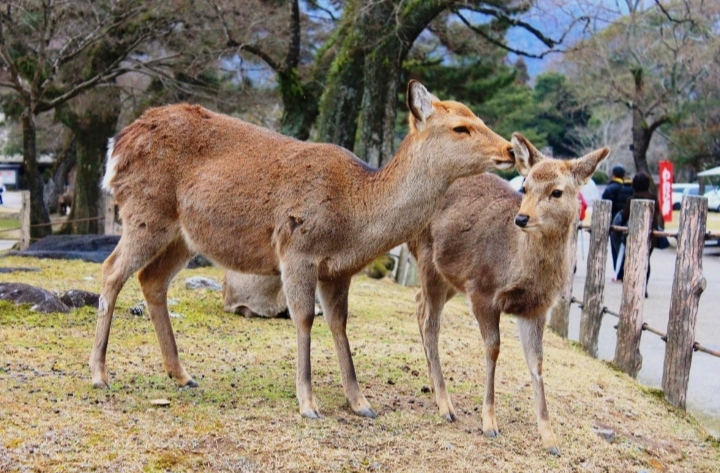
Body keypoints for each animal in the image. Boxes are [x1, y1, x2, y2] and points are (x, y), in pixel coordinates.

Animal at [91, 79, 516, 418]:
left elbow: (339, 324)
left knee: (151, 279)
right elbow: (304, 318)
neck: (355, 216)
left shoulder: (338, 270)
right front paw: (309, 404)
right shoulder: (297, 250)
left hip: (183, 235)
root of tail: (116, 145)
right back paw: (99, 373)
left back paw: (181, 374)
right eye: (461, 127)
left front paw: (361, 403)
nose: (510, 149)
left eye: (478, 117)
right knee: (111, 270)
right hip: (145, 211)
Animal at [410, 134, 608, 454]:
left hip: (449, 278)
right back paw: (445, 404)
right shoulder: (482, 290)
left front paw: (550, 439)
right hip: (428, 259)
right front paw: (489, 423)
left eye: (557, 191)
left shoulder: (536, 309)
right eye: (525, 186)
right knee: (430, 322)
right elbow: (493, 349)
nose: (522, 219)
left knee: (418, 304)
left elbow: (537, 363)